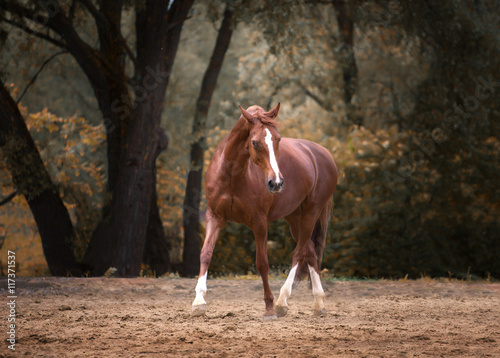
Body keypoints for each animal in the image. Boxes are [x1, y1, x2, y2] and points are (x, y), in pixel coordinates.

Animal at [193, 103, 338, 318]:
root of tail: (323, 154)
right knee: (310, 252)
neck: (232, 173)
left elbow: (262, 263)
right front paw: (198, 302)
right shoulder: (214, 217)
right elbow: (206, 253)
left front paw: (269, 307)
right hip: (294, 217)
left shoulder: (259, 222)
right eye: (254, 142)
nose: (276, 182)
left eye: (278, 139)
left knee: (300, 252)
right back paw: (318, 304)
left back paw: (282, 301)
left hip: (311, 212)